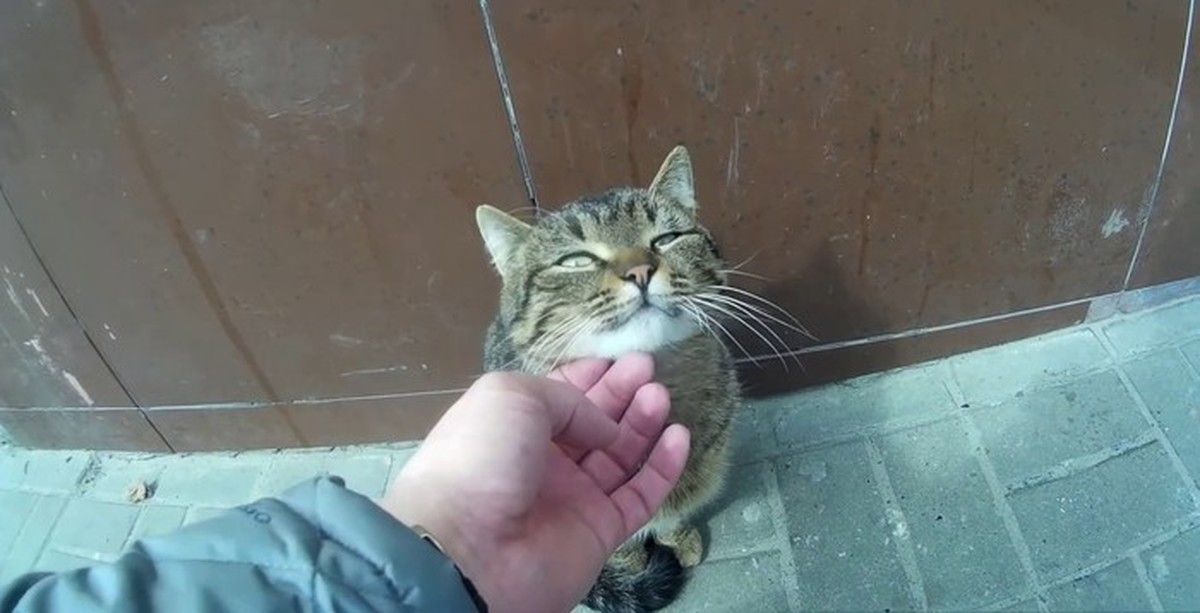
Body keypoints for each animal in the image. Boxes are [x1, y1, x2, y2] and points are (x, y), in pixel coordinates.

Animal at [475, 146, 741, 612]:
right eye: (576, 261)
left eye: (665, 239)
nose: (640, 271)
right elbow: (623, 545)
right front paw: (637, 566)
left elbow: (673, 511)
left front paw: (679, 536)